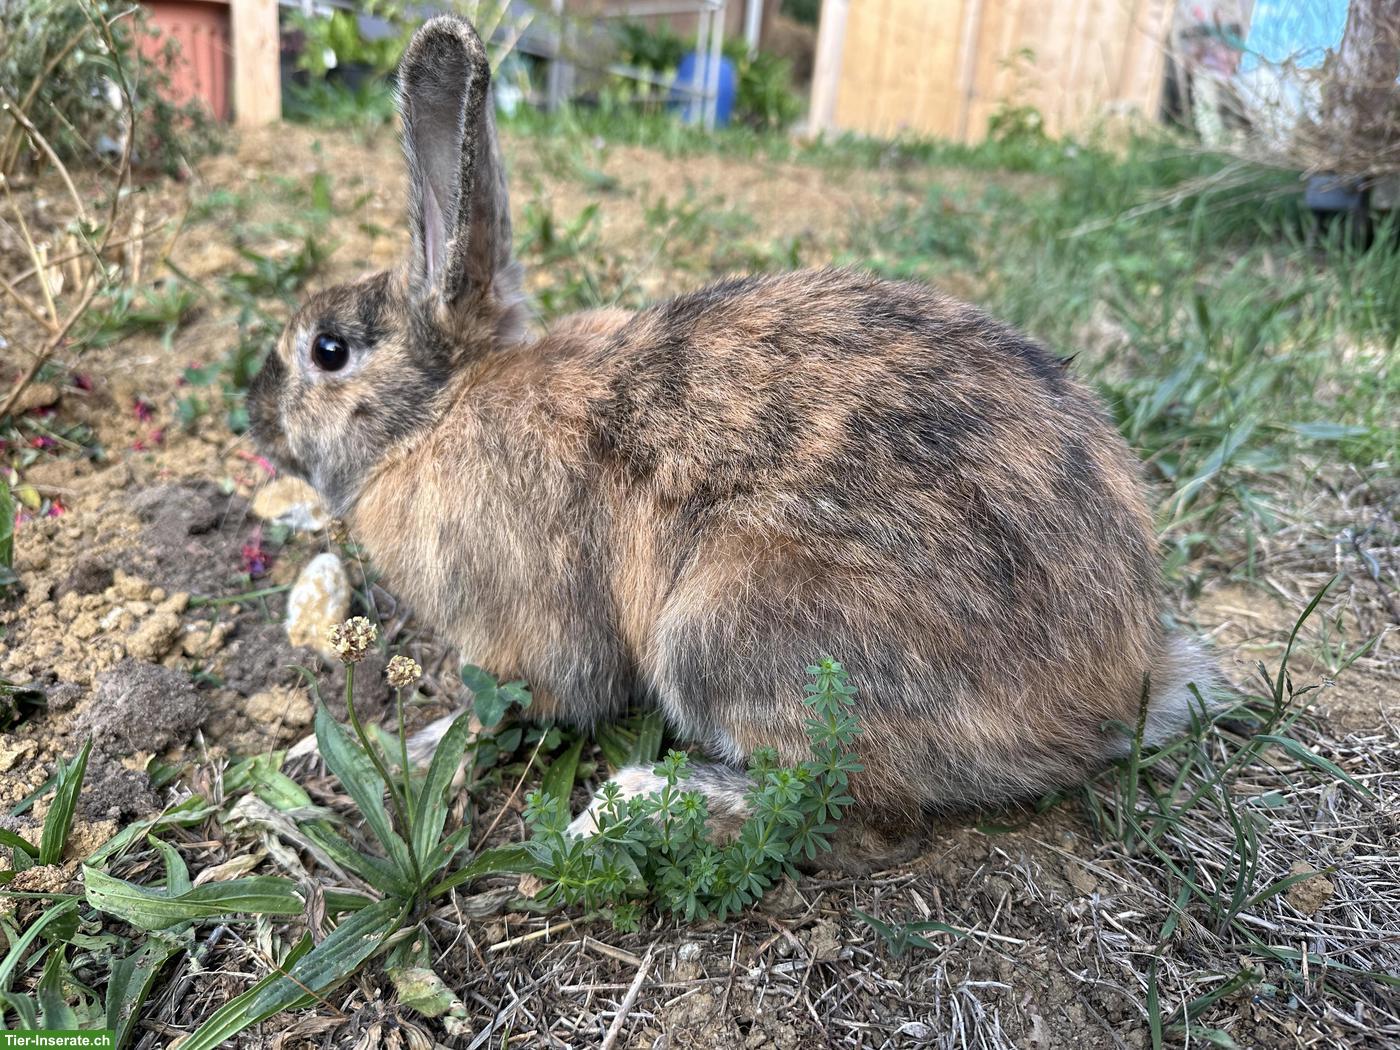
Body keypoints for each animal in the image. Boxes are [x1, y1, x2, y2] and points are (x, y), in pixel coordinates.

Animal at [249, 16, 1213, 869]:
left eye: (327, 351)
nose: (256, 411)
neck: (438, 411)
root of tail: (1123, 682)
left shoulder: (527, 637)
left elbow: (513, 705)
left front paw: (400, 747)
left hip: (727, 634)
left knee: (845, 813)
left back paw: (627, 814)